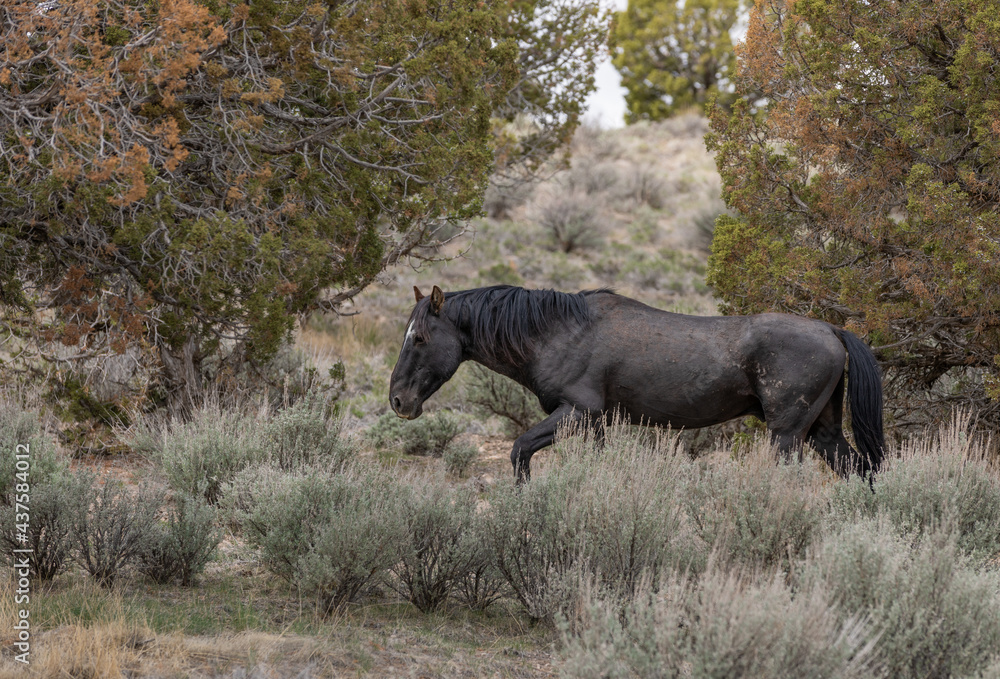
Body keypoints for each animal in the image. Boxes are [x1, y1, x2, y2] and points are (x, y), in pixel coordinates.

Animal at [389, 284, 884, 482]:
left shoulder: (576, 413)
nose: (398, 400)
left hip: (787, 436)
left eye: (420, 337)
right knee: (861, 471)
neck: (560, 332)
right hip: (822, 432)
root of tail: (832, 330)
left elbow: (519, 450)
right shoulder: (597, 425)